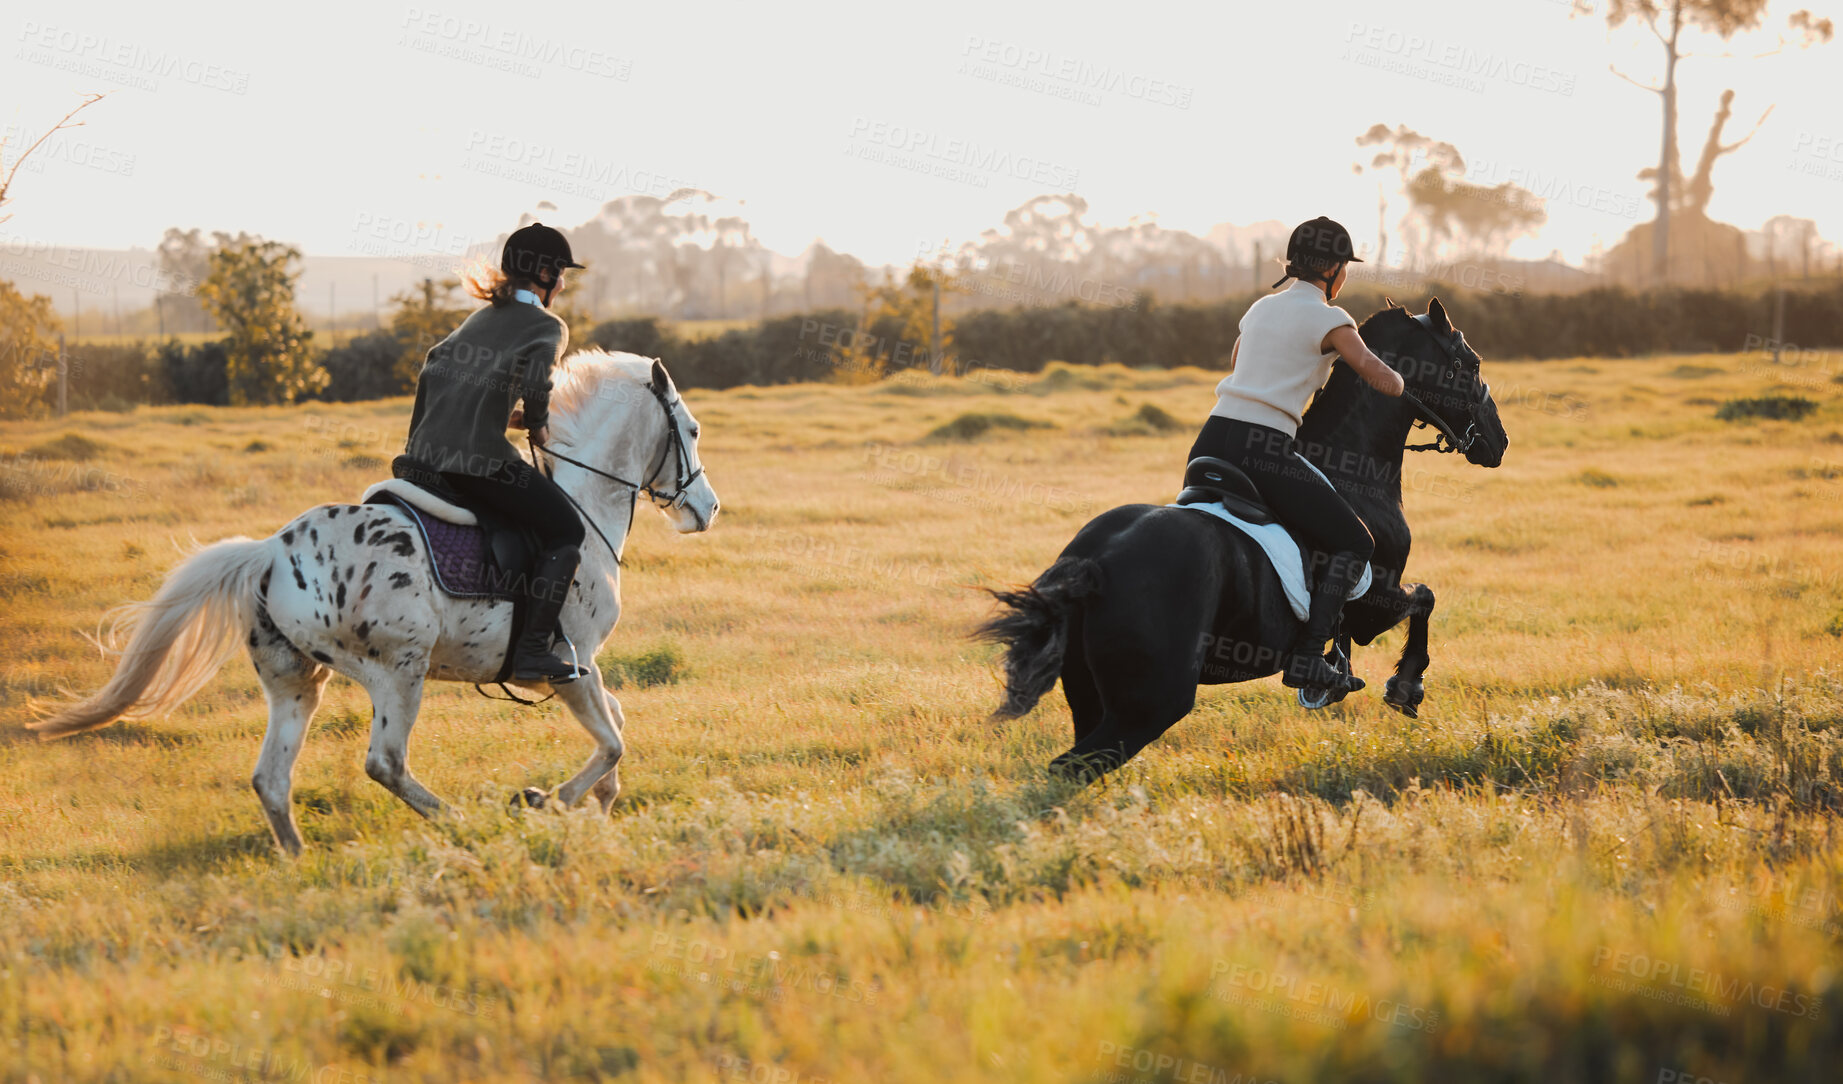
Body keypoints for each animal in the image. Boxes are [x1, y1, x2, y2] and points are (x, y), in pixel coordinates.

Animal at [29, 350, 720, 854]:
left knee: (271, 778)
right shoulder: (570, 665)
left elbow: (617, 728)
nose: (708, 509)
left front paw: (599, 806)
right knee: (386, 762)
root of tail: (269, 552)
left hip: (295, 681)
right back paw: (459, 821)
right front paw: (548, 800)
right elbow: (613, 741)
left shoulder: (577, 671)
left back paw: (298, 862)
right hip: (399, 670)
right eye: (690, 429)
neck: (584, 504)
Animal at [976, 298, 1508, 782]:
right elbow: (1424, 599)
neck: (1352, 469)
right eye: (1471, 365)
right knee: (1076, 765)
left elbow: (1419, 602)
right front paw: (1406, 685)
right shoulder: (1372, 604)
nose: (1498, 442)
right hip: (1151, 702)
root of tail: (1093, 562)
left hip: (1089, 690)